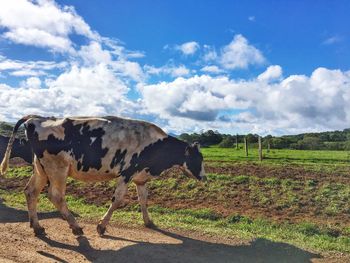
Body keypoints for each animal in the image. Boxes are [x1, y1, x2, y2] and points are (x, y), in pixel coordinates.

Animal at [0, 115, 206, 237]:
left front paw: (149, 222)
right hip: (57, 168)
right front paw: (101, 226)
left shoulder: (140, 178)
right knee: (55, 196)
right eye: (198, 157)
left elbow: (144, 200)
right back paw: (75, 226)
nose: (205, 178)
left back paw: (37, 227)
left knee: (30, 192)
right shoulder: (126, 173)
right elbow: (117, 200)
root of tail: (37, 118)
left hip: (40, 168)